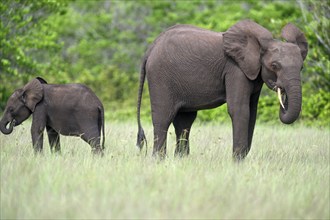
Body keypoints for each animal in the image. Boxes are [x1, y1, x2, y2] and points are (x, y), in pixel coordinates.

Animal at [135, 19, 308, 160]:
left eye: (301, 67)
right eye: (275, 66)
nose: (281, 90)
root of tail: (151, 47)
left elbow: (252, 112)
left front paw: (241, 157)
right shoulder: (235, 68)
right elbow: (240, 109)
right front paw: (237, 161)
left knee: (184, 120)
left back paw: (181, 159)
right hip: (160, 76)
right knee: (164, 117)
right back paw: (159, 160)